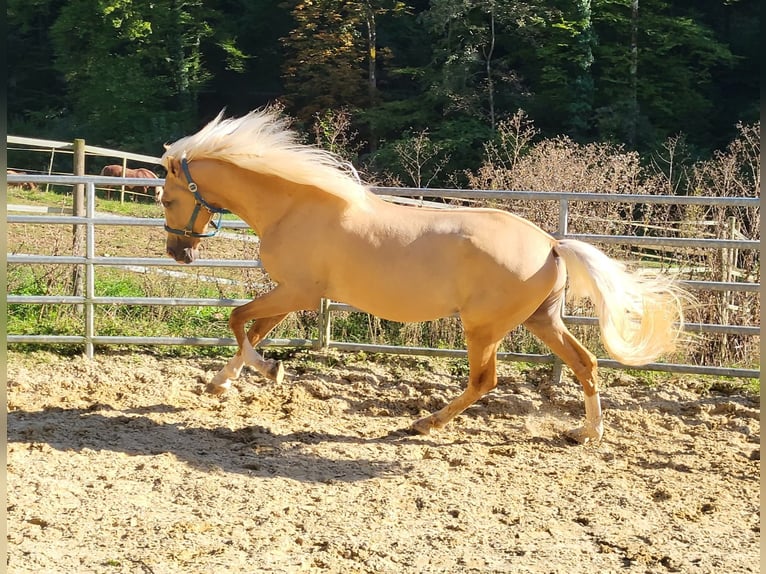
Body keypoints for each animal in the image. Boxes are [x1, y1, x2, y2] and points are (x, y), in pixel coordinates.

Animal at [159, 111, 688, 446]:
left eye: (166, 199)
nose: (178, 253)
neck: (295, 207)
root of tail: (551, 245)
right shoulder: (293, 293)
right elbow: (252, 330)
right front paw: (221, 383)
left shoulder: (297, 291)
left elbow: (238, 321)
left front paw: (271, 372)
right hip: (542, 320)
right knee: (585, 364)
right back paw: (585, 433)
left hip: (484, 328)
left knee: (485, 380)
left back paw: (425, 424)